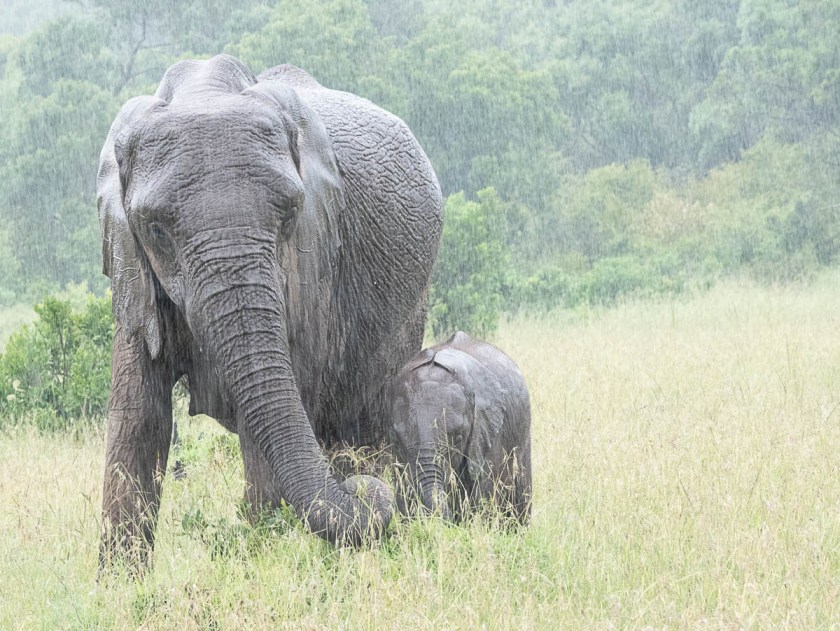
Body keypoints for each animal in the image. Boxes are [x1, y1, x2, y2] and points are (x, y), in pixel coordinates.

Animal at [96, 54, 442, 565]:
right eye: (155, 228)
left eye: (289, 213)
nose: (364, 493)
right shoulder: (133, 274)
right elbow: (138, 420)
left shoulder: (314, 263)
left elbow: (266, 434)